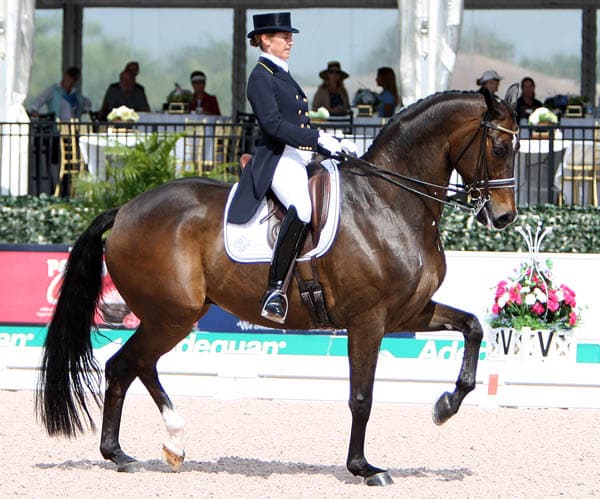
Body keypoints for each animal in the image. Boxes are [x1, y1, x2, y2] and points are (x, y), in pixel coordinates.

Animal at [35, 88, 516, 486]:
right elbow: (361, 396)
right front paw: (363, 468)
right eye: (499, 146)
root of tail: (124, 210)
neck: (391, 201)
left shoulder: (407, 312)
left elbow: (473, 327)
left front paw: (445, 406)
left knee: (137, 366)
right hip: (172, 314)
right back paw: (128, 452)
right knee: (125, 365)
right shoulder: (369, 320)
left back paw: (158, 447)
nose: (504, 217)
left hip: (172, 315)